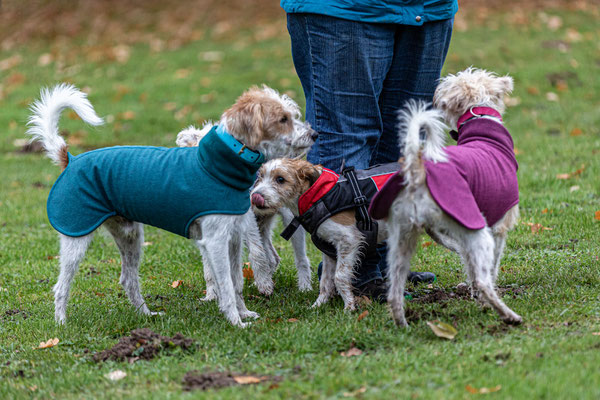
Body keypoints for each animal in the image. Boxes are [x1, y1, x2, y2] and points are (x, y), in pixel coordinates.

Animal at [372, 67, 524, 326]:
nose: (434, 95)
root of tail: (417, 173)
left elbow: (470, 265)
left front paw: (473, 294)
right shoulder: (496, 227)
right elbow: (489, 269)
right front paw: (483, 297)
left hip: (402, 239)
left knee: (394, 289)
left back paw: (402, 324)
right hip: (477, 232)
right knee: (484, 280)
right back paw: (508, 315)